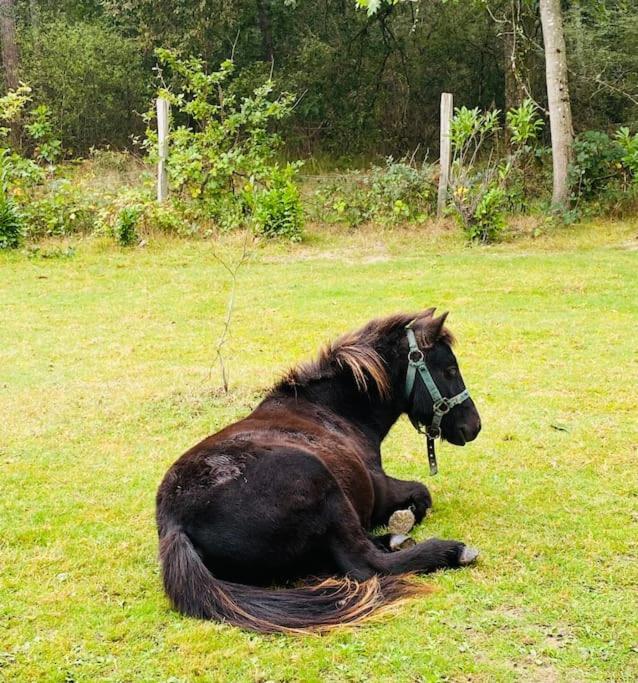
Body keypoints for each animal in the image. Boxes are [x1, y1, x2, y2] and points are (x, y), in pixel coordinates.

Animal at [158, 308, 482, 632]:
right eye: (450, 370)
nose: (474, 426)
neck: (331, 409)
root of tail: (176, 524)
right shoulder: (382, 489)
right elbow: (422, 494)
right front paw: (404, 519)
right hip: (324, 486)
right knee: (365, 563)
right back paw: (448, 551)